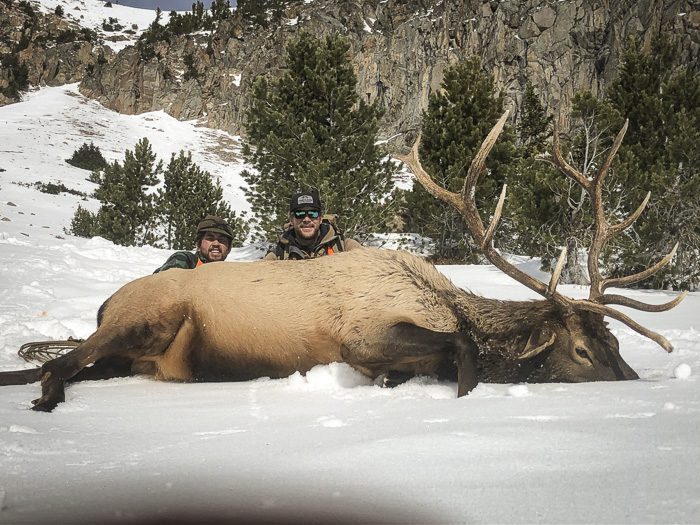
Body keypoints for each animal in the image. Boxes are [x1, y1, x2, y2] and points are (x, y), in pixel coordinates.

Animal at [0, 111, 684, 412]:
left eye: (617, 343)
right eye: (582, 350)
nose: (633, 385)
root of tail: (105, 302)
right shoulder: (363, 334)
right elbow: (461, 349)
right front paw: (462, 391)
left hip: (130, 352)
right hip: (139, 320)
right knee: (54, 364)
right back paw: (46, 401)